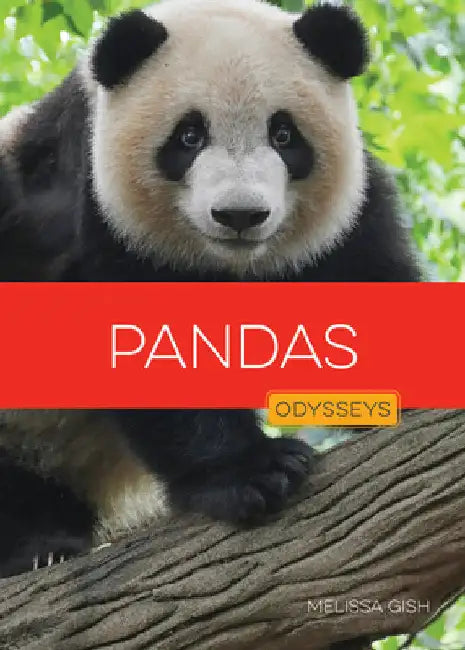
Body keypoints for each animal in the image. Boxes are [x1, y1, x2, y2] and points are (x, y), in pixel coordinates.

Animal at [0, 0, 421, 578]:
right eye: (189, 136)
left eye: (284, 135)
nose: (240, 215)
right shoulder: (99, 208)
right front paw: (253, 473)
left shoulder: (344, 219)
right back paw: (38, 547)